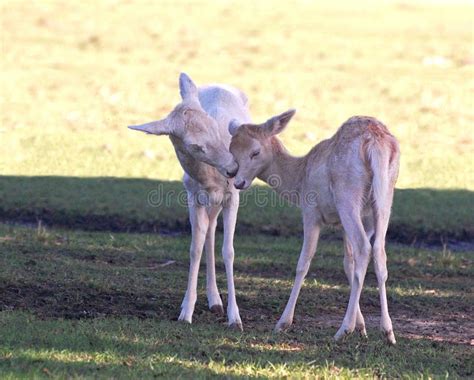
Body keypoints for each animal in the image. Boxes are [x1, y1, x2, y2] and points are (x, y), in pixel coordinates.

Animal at [126, 72, 252, 328]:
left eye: (214, 126)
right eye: (196, 146)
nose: (233, 169)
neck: (210, 178)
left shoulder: (232, 196)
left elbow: (229, 251)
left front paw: (235, 318)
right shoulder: (192, 196)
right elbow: (194, 248)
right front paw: (185, 312)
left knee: (213, 229)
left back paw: (218, 302)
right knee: (209, 231)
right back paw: (214, 300)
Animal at [230, 110, 400, 344]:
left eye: (255, 152)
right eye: (232, 150)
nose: (238, 182)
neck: (299, 179)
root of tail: (376, 142)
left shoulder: (311, 212)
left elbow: (304, 262)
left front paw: (282, 323)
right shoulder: (350, 222)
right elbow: (348, 263)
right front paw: (362, 328)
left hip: (347, 196)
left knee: (364, 248)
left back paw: (342, 330)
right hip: (385, 197)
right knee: (379, 251)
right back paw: (388, 332)